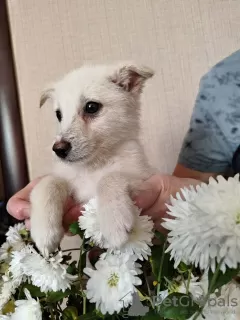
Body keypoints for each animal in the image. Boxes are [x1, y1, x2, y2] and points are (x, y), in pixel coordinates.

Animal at [30, 62, 155, 255]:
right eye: (59, 115)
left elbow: (109, 178)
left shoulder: (141, 177)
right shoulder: (72, 185)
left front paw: (114, 223)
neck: (91, 167)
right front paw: (44, 232)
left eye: (91, 107)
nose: (58, 150)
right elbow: (49, 183)